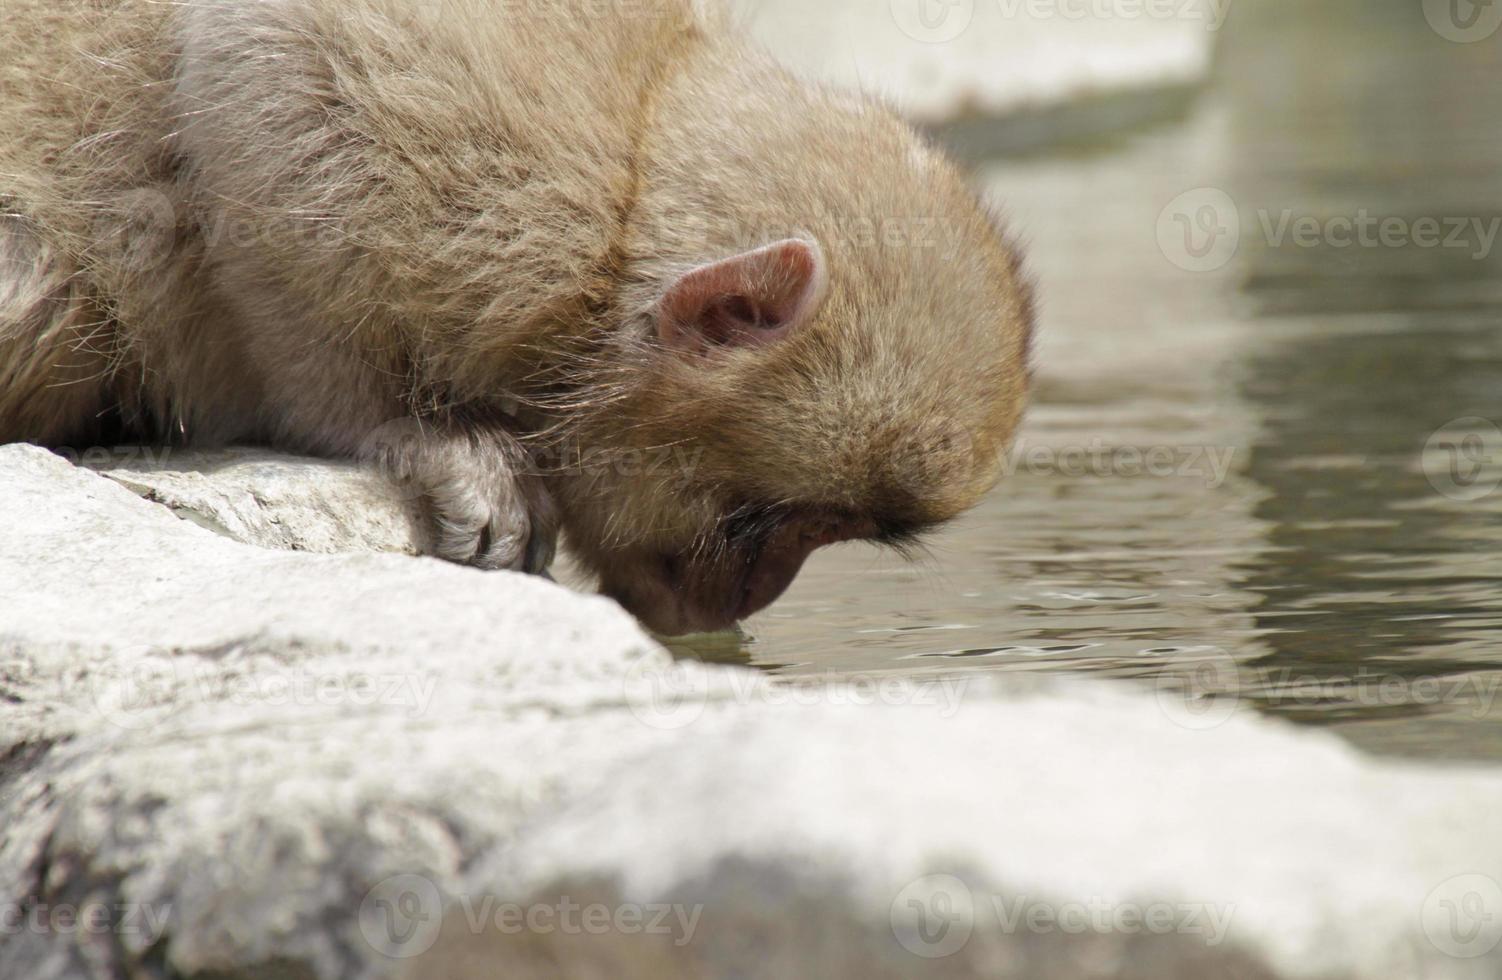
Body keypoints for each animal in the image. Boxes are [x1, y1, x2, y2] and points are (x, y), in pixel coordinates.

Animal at [0, 0, 1033, 634]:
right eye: (772, 526)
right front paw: (412, 431)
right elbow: (249, 65)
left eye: (827, 533)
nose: (749, 598)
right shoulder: (489, 166)